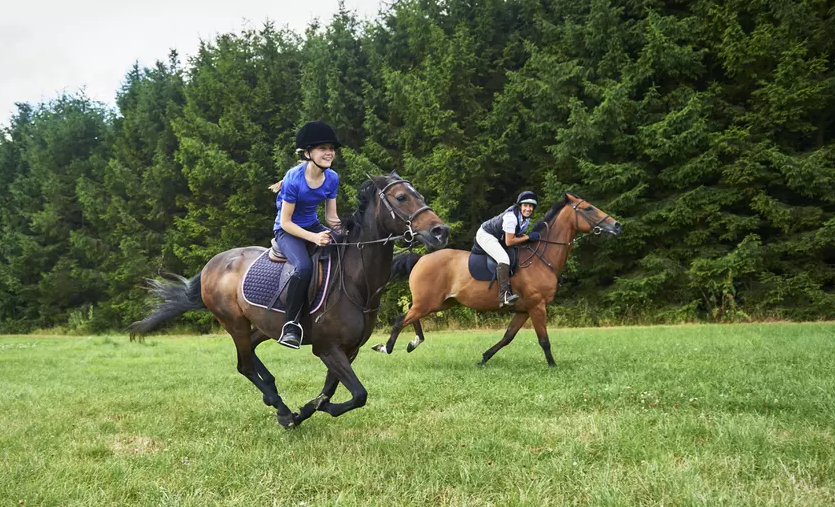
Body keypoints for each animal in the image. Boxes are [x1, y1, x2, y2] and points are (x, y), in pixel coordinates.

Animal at [129, 174, 450, 428]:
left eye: (420, 196)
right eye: (401, 197)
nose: (440, 231)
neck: (355, 282)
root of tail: (212, 264)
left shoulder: (349, 350)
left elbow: (333, 390)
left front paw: (309, 408)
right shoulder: (326, 348)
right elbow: (358, 394)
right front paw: (308, 410)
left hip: (264, 325)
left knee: (250, 354)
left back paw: (276, 398)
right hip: (234, 323)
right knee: (244, 365)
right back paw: (279, 407)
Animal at [372, 193, 620, 366]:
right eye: (588, 208)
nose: (617, 225)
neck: (541, 257)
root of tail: (420, 259)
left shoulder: (524, 309)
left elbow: (507, 337)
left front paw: (484, 357)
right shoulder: (537, 306)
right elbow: (544, 340)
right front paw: (553, 365)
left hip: (439, 303)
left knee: (410, 316)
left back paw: (413, 343)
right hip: (429, 302)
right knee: (400, 319)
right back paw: (386, 347)